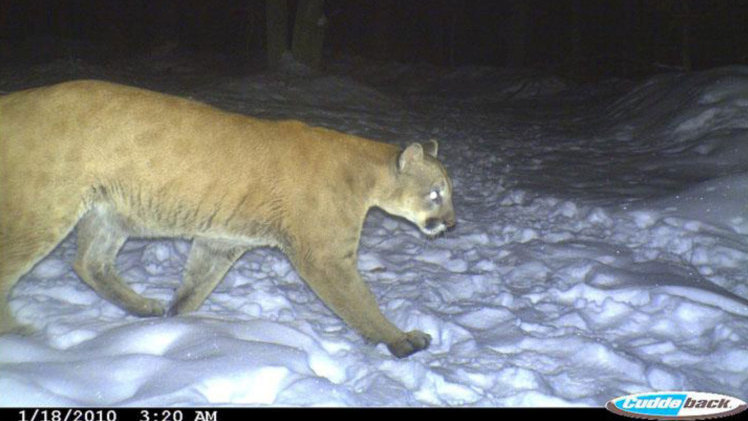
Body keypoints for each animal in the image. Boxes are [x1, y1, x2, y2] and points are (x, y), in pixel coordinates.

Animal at [0, 80, 455, 358]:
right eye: (436, 193)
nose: (452, 224)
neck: (367, 174)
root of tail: (15, 98)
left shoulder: (222, 241)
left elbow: (195, 288)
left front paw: (174, 327)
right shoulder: (327, 257)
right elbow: (360, 303)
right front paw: (400, 340)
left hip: (111, 213)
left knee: (88, 263)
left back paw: (144, 308)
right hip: (44, 208)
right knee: (14, 267)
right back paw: (22, 334)